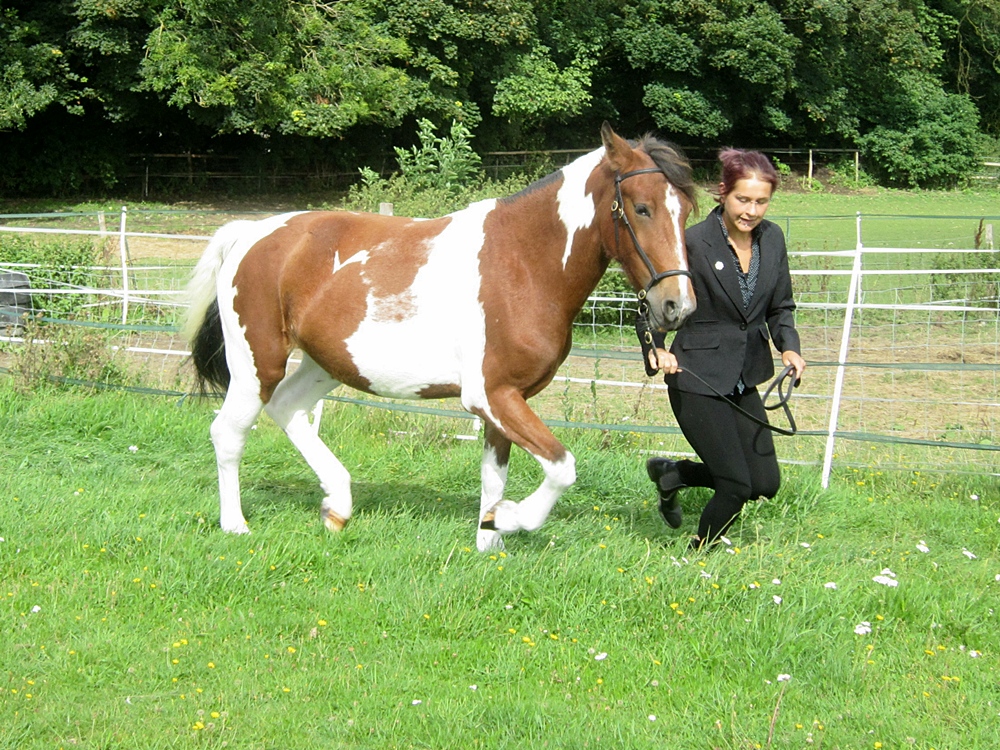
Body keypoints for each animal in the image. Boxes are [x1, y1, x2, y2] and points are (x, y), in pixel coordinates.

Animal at [183, 122, 697, 551]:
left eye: (687, 210)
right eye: (641, 208)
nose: (678, 305)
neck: (523, 263)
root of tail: (251, 232)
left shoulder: (507, 402)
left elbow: (493, 480)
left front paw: (489, 541)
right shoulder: (490, 395)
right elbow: (561, 467)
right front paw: (509, 519)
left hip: (325, 363)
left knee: (288, 407)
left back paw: (338, 506)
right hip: (257, 361)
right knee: (228, 432)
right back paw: (236, 525)